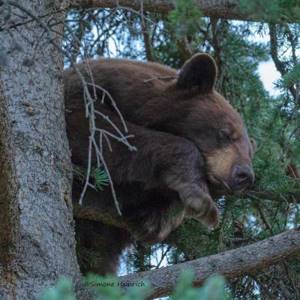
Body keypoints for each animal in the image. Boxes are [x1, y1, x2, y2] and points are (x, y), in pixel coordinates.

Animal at [63, 53, 255, 274]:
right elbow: (100, 132)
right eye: (225, 133)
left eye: (250, 153)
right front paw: (199, 198)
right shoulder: (87, 92)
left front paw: (158, 218)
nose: (245, 175)